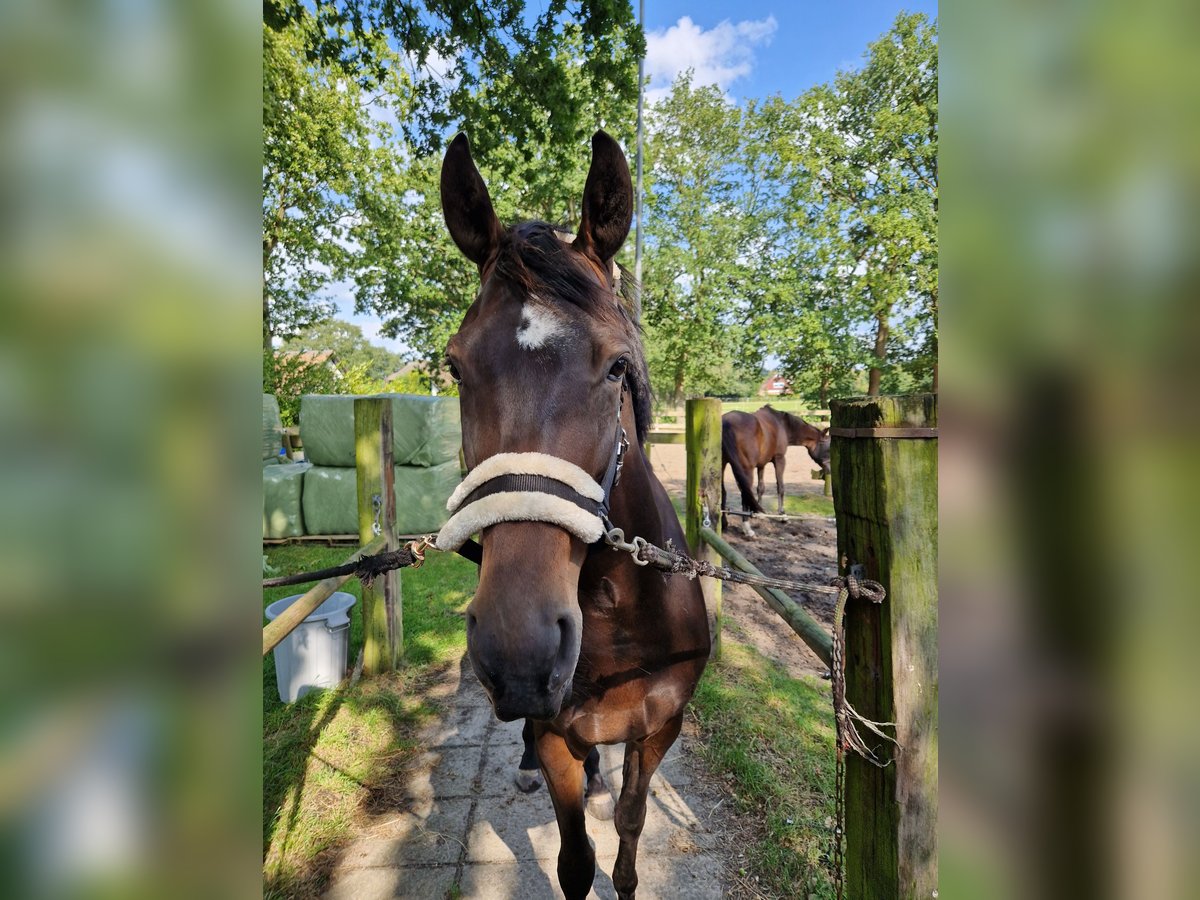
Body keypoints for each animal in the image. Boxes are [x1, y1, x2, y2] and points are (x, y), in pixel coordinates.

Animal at [436, 130, 705, 897]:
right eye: (456, 367)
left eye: (616, 366)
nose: (519, 649)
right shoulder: (558, 730)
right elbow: (575, 858)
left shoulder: (659, 730)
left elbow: (630, 829)